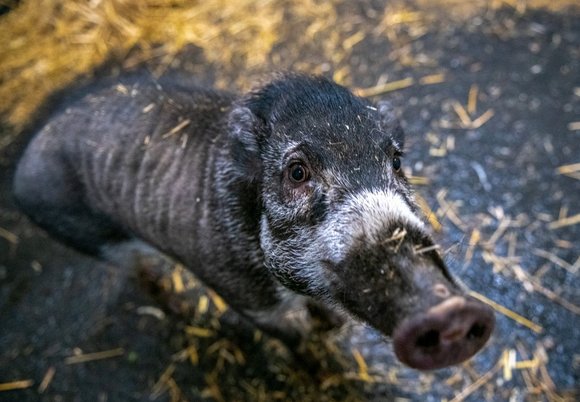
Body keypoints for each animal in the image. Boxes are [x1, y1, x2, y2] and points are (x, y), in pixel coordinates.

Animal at [12, 72, 494, 370]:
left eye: (395, 161)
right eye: (297, 172)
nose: (451, 311)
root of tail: (21, 168)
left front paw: (333, 328)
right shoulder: (248, 299)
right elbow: (293, 339)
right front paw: (318, 364)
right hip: (99, 241)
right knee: (142, 275)